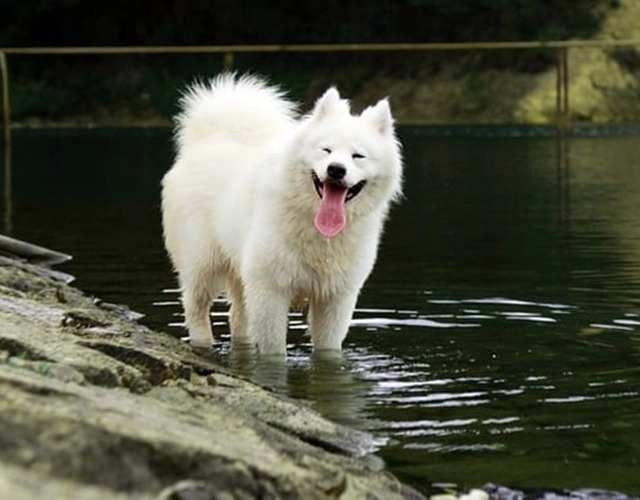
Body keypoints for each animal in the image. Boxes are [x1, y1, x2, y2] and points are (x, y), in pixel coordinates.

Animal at [161, 74, 400, 356]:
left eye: (358, 156)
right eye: (326, 150)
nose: (336, 170)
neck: (316, 229)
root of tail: (211, 139)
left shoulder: (335, 298)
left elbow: (328, 350)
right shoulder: (270, 290)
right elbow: (274, 351)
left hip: (241, 272)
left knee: (238, 317)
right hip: (203, 264)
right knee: (196, 307)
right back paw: (202, 343)